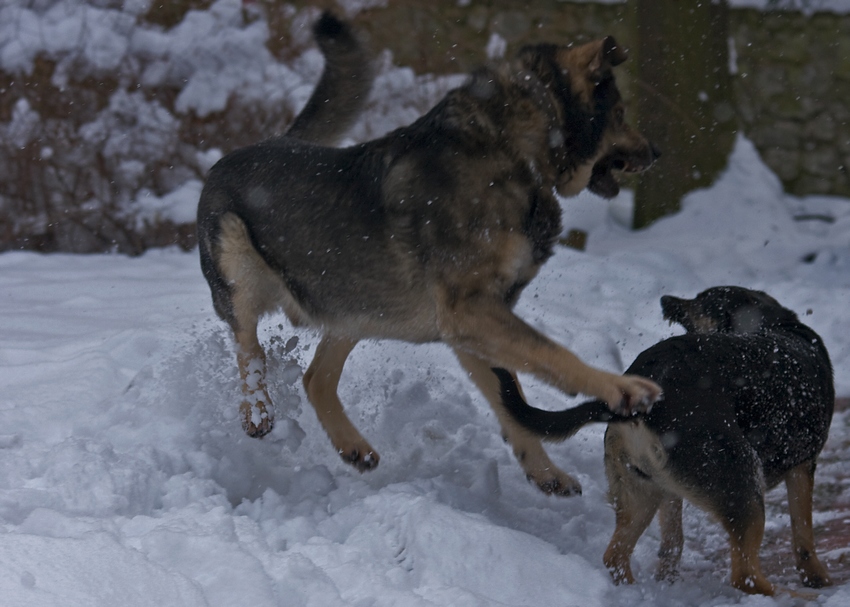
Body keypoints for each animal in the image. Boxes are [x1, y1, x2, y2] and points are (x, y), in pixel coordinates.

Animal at [195, 14, 660, 496]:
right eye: (620, 114)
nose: (656, 153)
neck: (511, 146)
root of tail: (261, 143)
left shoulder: (472, 325)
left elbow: (513, 402)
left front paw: (545, 471)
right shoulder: (469, 312)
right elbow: (554, 355)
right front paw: (620, 388)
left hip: (358, 306)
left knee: (316, 378)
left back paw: (351, 446)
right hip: (238, 263)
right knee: (249, 347)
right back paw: (257, 411)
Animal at [496, 288, 836, 596]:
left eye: (701, 301)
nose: (665, 300)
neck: (777, 324)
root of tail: (643, 398)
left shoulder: (669, 488)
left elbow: (673, 542)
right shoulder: (804, 465)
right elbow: (803, 534)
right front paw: (817, 579)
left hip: (642, 491)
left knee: (615, 556)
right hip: (743, 485)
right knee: (746, 576)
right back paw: (792, 596)